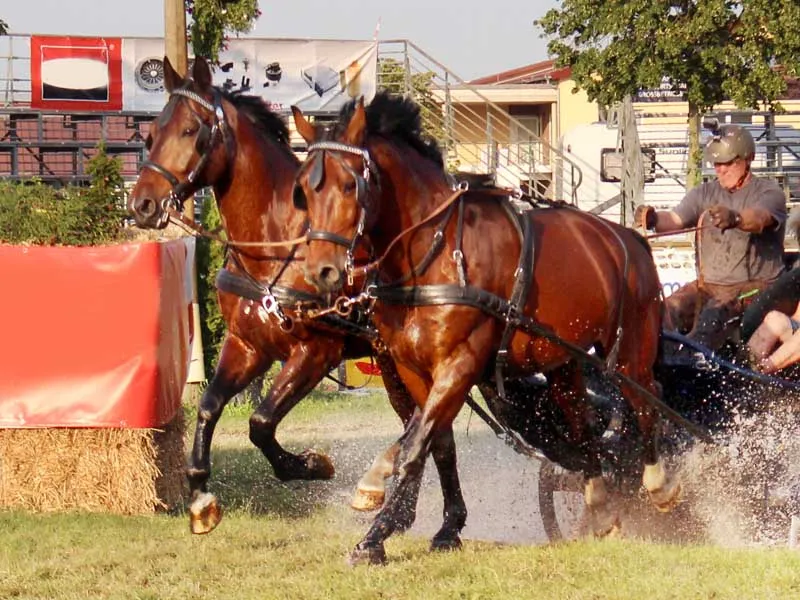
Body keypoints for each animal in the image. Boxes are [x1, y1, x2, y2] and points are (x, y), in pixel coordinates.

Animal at [128, 57, 419, 534]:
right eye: (151, 133)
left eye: (191, 131)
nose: (143, 204)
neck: (277, 244)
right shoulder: (248, 346)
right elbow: (208, 406)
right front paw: (200, 496)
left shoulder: (316, 352)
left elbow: (261, 422)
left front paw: (310, 464)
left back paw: (376, 480)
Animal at [290, 91, 679, 564]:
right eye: (303, 189)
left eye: (351, 185)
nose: (321, 271)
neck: (435, 251)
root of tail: (631, 238)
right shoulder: (413, 369)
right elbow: (438, 443)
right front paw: (447, 527)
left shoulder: (459, 364)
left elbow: (415, 446)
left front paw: (375, 536)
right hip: (563, 362)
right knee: (582, 422)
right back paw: (601, 506)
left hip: (628, 352)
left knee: (647, 401)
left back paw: (658, 484)